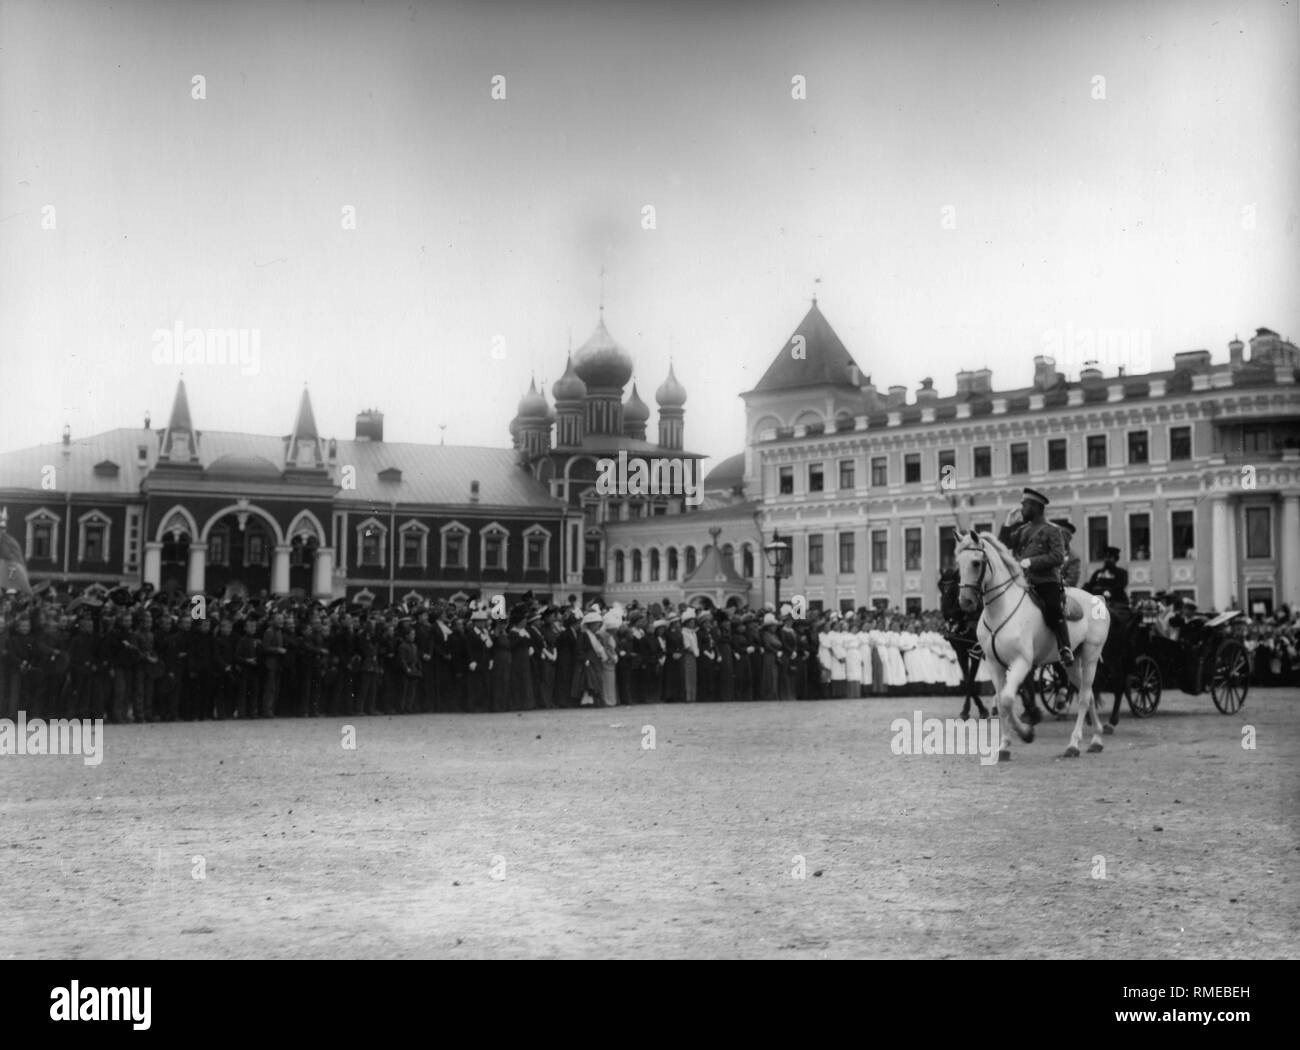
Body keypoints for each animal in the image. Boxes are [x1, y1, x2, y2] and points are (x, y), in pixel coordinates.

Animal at [935, 566, 982, 722]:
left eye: (954, 587)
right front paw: (967, 710)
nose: (948, 615)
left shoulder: (976, 652)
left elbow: (971, 679)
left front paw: (981, 710)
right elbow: (967, 680)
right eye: (941, 587)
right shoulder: (961, 652)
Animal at [951, 530, 1112, 758]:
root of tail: (1098, 599)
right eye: (958, 564)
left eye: (975, 562)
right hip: (1072, 663)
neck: (1001, 610)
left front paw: (1026, 733)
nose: (965, 602)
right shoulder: (994, 665)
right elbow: (1001, 701)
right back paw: (1097, 738)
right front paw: (1005, 745)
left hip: (1090, 657)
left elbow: (1008, 699)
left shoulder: (1021, 662)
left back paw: (1073, 744)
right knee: (1086, 695)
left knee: (1084, 696)